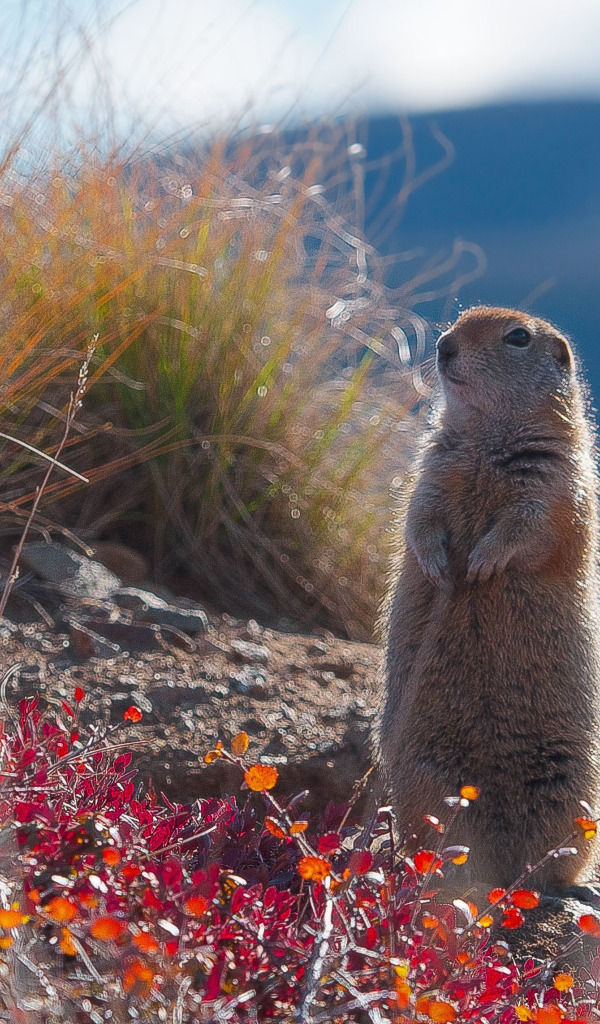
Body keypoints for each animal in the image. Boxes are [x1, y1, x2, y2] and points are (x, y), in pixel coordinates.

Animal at [378, 303, 597, 888]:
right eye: (459, 319)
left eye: (518, 338)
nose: (444, 346)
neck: (484, 440)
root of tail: (505, 863)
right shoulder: (431, 470)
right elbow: (420, 517)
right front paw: (438, 565)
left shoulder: (555, 480)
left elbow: (530, 525)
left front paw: (482, 562)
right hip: (427, 778)